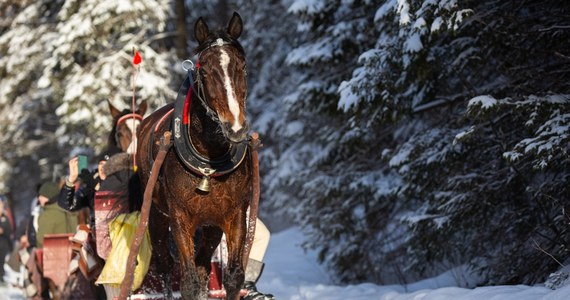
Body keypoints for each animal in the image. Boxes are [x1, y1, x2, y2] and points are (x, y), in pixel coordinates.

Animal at [135, 12, 251, 300]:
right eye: (205, 71)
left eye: (242, 67)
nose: (236, 128)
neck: (209, 160)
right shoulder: (180, 218)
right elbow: (188, 282)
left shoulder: (234, 216)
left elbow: (233, 277)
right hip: (156, 215)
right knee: (166, 264)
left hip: (210, 227)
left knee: (202, 266)